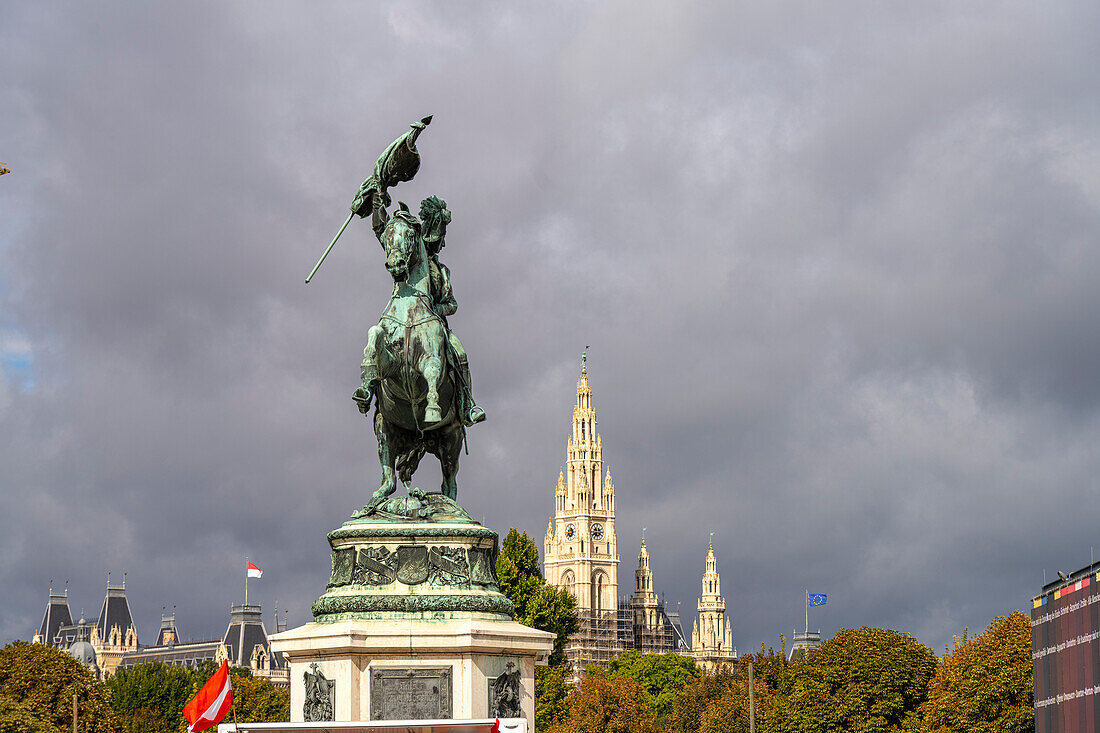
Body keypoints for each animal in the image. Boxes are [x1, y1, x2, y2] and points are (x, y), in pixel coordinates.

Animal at [354, 205, 466, 512]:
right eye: (386, 235)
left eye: (410, 234)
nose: (394, 264)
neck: (408, 304)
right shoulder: (391, 364)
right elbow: (374, 335)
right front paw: (365, 380)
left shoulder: (431, 358)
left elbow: (432, 371)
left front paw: (432, 408)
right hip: (386, 429)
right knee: (390, 477)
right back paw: (379, 500)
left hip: (452, 440)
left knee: (449, 484)